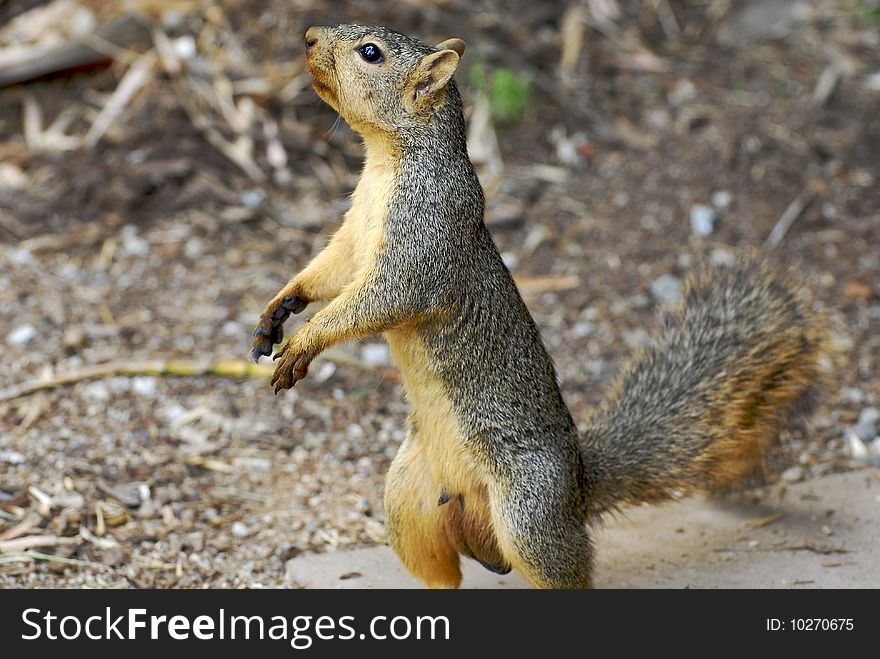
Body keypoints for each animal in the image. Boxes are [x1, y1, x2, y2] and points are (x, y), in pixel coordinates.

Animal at [249, 23, 832, 592]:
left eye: (371, 53)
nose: (307, 36)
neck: (388, 161)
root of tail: (578, 486)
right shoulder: (354, 238)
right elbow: (328, 271)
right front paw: (278, 310)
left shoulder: (425, 237)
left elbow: (383, 298)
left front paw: (304, 341)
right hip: (408, 500)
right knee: (444, 568)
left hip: (528, 513)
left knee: (559, 570)